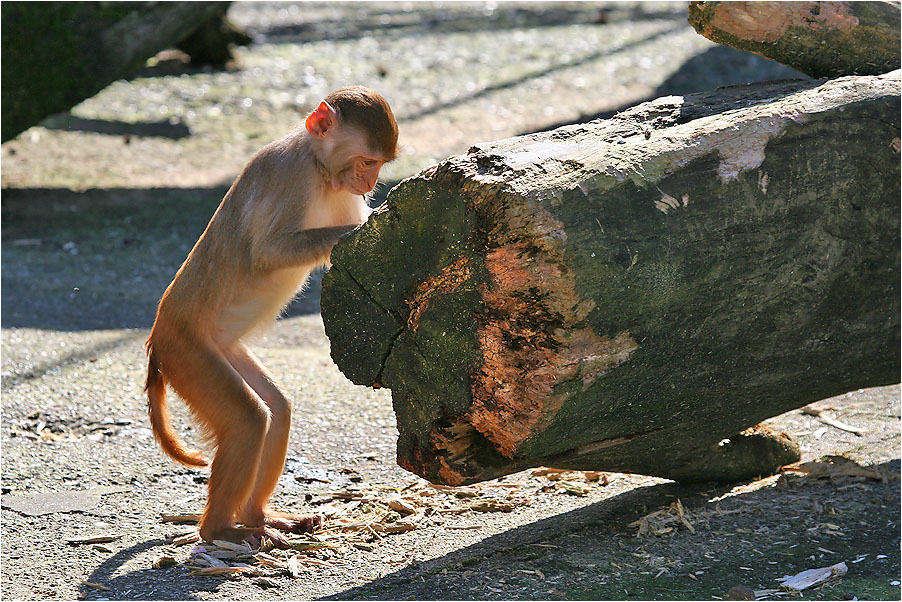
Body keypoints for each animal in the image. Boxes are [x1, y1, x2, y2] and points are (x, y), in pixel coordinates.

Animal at [145, 86, 400, 548]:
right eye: (367, 161)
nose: (371, 183)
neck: (320, 169)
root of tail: (157, 334)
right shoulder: (290, 176)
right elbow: (266, 252)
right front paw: (363, 226)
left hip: (222, 347)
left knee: (276, 409)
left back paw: (258, 515)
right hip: (187, 352)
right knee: (249, 419)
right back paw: (221, 529)